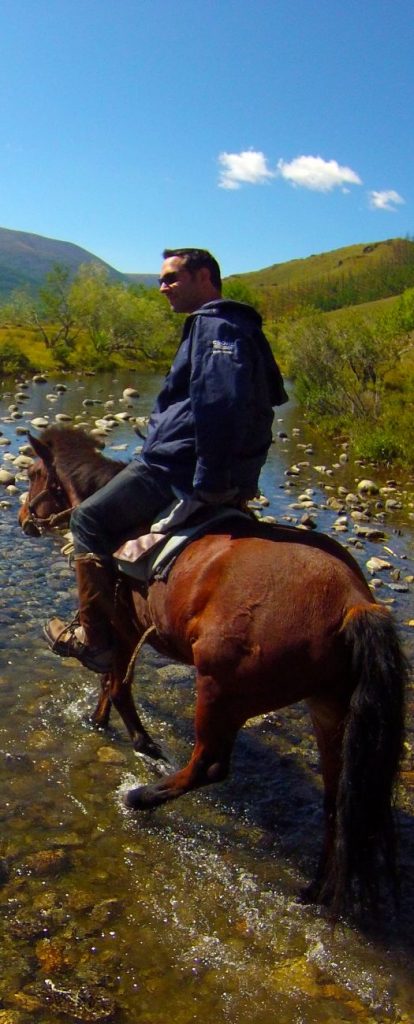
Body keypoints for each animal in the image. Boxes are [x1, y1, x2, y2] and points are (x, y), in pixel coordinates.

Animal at [20, 428, 407, 917]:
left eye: (34, 474)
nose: (22, 518)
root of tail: (354, 601)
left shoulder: (121, 626)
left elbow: (116, 679)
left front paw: (140, 741)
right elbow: (111, 681)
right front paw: (100, 720)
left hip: (220, 689)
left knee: (209, 765)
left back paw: (140, 797)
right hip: (329, 709)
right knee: (339, 798)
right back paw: (317, 888)